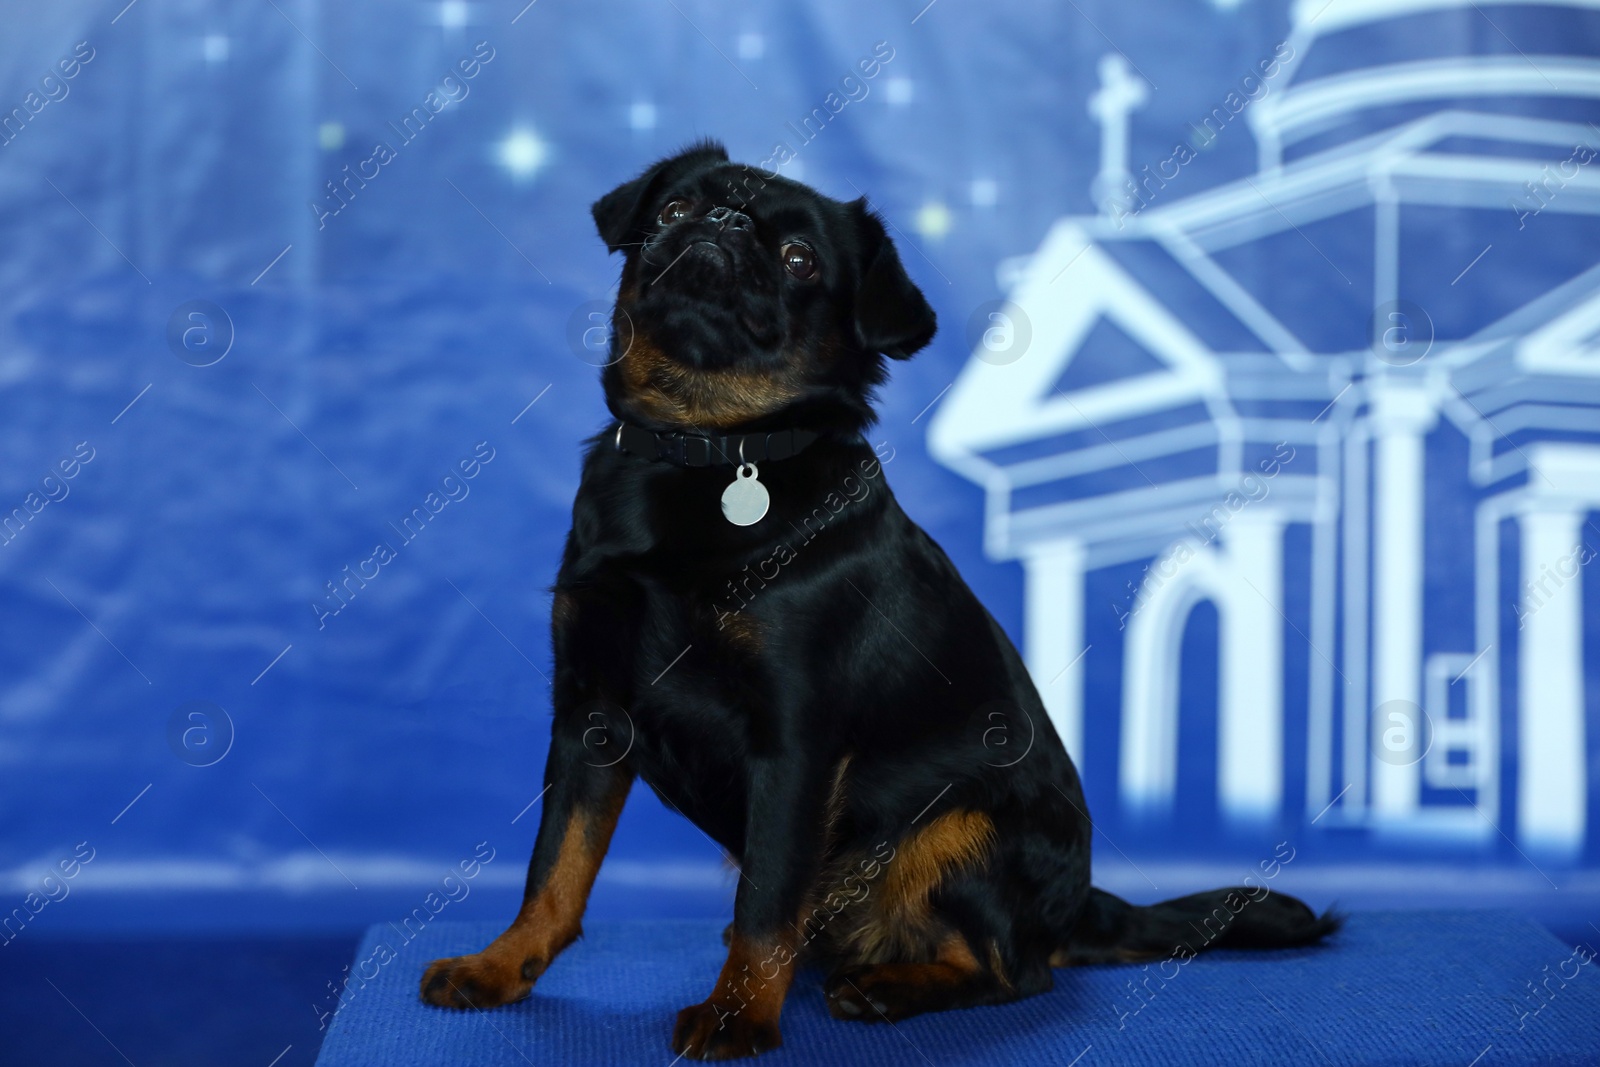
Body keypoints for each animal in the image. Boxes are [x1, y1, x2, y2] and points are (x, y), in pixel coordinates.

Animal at [416, 141, 1337, 1062]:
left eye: (800, 260)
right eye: (673, 211)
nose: (723, 224)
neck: (705, 449)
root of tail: (1080, 906)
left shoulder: (795, 744)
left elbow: (766, 897)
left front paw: (738, 1013)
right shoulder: (591, 717)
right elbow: (556, 867)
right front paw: (500, 965)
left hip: (960, 827)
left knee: (1012, 969)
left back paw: (889, 987)